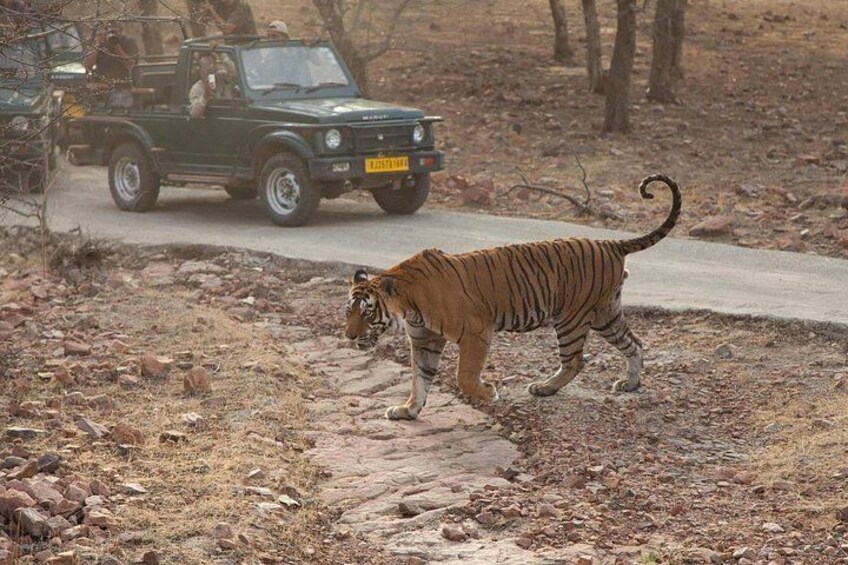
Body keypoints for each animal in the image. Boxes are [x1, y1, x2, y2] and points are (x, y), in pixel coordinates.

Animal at [345, 174, 681, 420]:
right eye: (348, 312)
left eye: (367, 313)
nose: (349, 337)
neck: (407, 306)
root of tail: (610, 244)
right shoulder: (425, 340)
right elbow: (419, 379)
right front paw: (408, 410)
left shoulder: (476, 332)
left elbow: (464, 376)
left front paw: (489, 391)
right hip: (605, 314)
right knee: (634, 344)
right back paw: (630, 383)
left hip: (572, 317)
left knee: (574, 361)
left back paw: (544, 388)